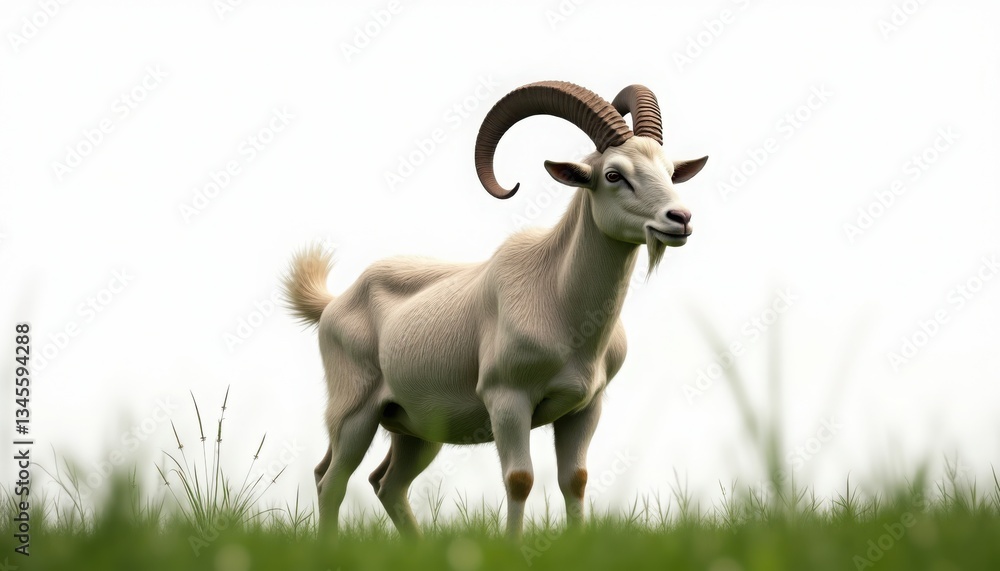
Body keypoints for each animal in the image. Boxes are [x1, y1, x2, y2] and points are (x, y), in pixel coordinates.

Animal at [283, 81, 708, 539]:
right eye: (614, 174)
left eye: (670, 171)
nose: (679, 218)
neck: (558, 299)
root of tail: (333, 303)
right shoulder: (507, 400)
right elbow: (519, 479)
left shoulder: (583, 409)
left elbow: (575, 480)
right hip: (353, 415)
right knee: (332, 481)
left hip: (416, 429)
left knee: (384, 483)